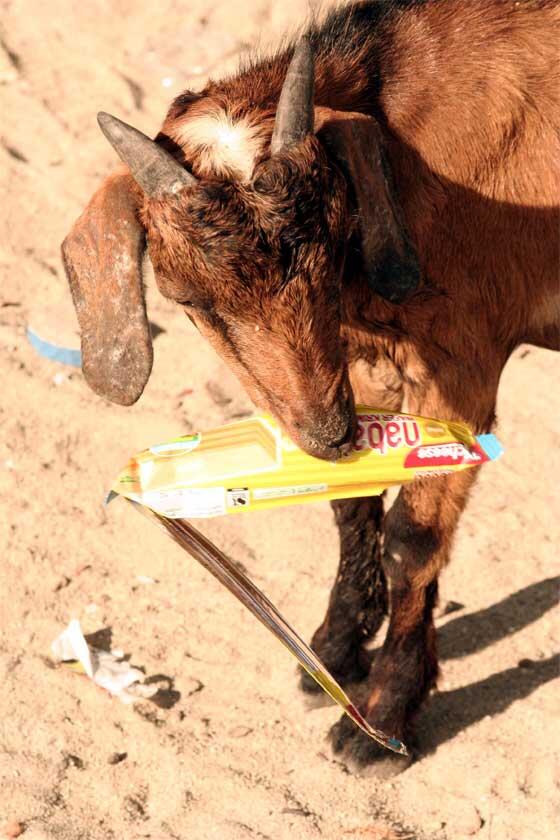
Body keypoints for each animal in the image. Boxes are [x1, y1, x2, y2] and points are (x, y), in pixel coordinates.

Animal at [62, 0, 560, 776]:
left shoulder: (464, 359)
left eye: (336, 238)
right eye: (185, 298)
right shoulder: (357, 360)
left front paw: (381, 720)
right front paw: (331, 653)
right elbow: (353, 500)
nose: (323, 434)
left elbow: (414, 535)